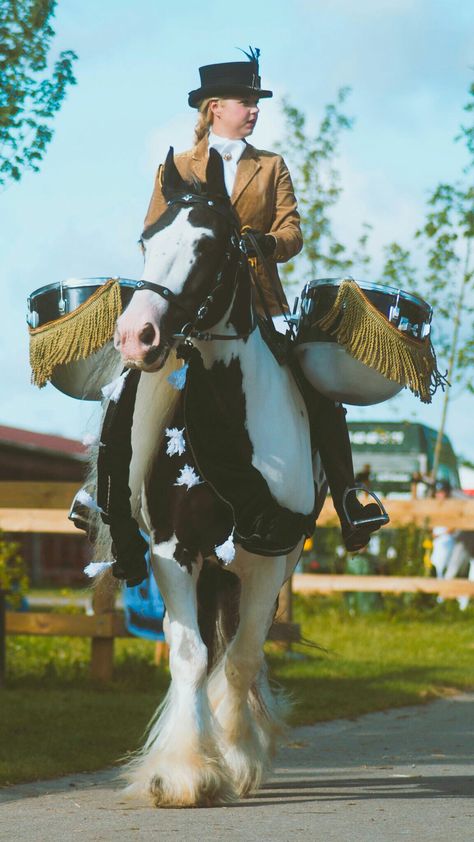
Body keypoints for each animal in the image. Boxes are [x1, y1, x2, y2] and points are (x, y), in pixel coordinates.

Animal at [97, 148, 324, 804]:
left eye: (207, 245)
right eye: (147, 241)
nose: (136, 337)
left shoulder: (269, 556)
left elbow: (243, 657)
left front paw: (239, 755)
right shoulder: (176, 551)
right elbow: (192, 656)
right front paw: (183, 770)